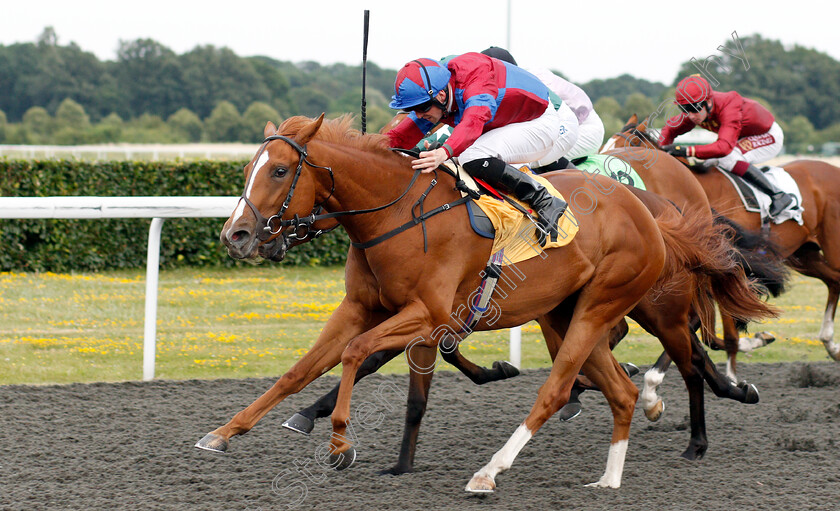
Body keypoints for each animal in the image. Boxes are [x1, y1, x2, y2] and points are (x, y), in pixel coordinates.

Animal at [195, 114, 768, 490]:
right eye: (247, 168)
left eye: (279, 171)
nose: (236, 235)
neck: (395, 215)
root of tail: (650, 210)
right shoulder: (360, 309)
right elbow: (301, 369)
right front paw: (224, 433)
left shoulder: (426, 314)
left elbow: (357, 354)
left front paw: (340, 443)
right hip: (567, 311)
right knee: (620, 389)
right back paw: (611, 475)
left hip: (613, 304)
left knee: (585, 381)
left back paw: (493, 470)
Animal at [600, 114, 840, 376]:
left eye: (630, 145)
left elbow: (723, 330)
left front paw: (733, 375)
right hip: (806, 255)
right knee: (834, 280)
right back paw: (830, 344)